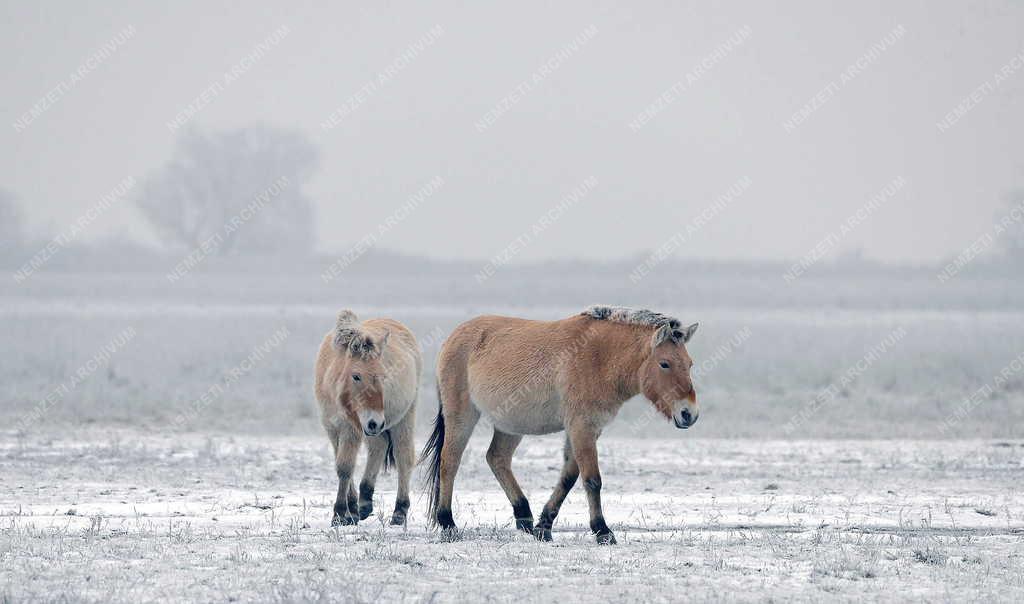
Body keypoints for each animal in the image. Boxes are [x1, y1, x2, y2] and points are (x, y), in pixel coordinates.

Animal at [313, 309, 421, 528]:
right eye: (356, 376)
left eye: (382, 376)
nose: (376, 421)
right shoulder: (333, 427)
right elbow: (342, 465)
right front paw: (351, 510)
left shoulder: (351, 428)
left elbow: (345, 467)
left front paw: (339, 513)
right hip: (371, 429)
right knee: (378, 447)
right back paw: (364, 502)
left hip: (402, 418)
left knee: (404, 457)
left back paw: (400, 511)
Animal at [419, 305, 700, 548]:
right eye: (664, 363)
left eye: (689, 363)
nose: (689, 414)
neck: (599, 357)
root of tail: (454, 337)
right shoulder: (581, 427)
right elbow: (592, 480)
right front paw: (603, 531)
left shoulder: (588, 429)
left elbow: (568, 477)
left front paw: (544, 526)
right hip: (462, 416)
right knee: (449, 462)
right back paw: (448, 523)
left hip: (510, 425)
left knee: (496, 458)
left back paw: (524, 516)